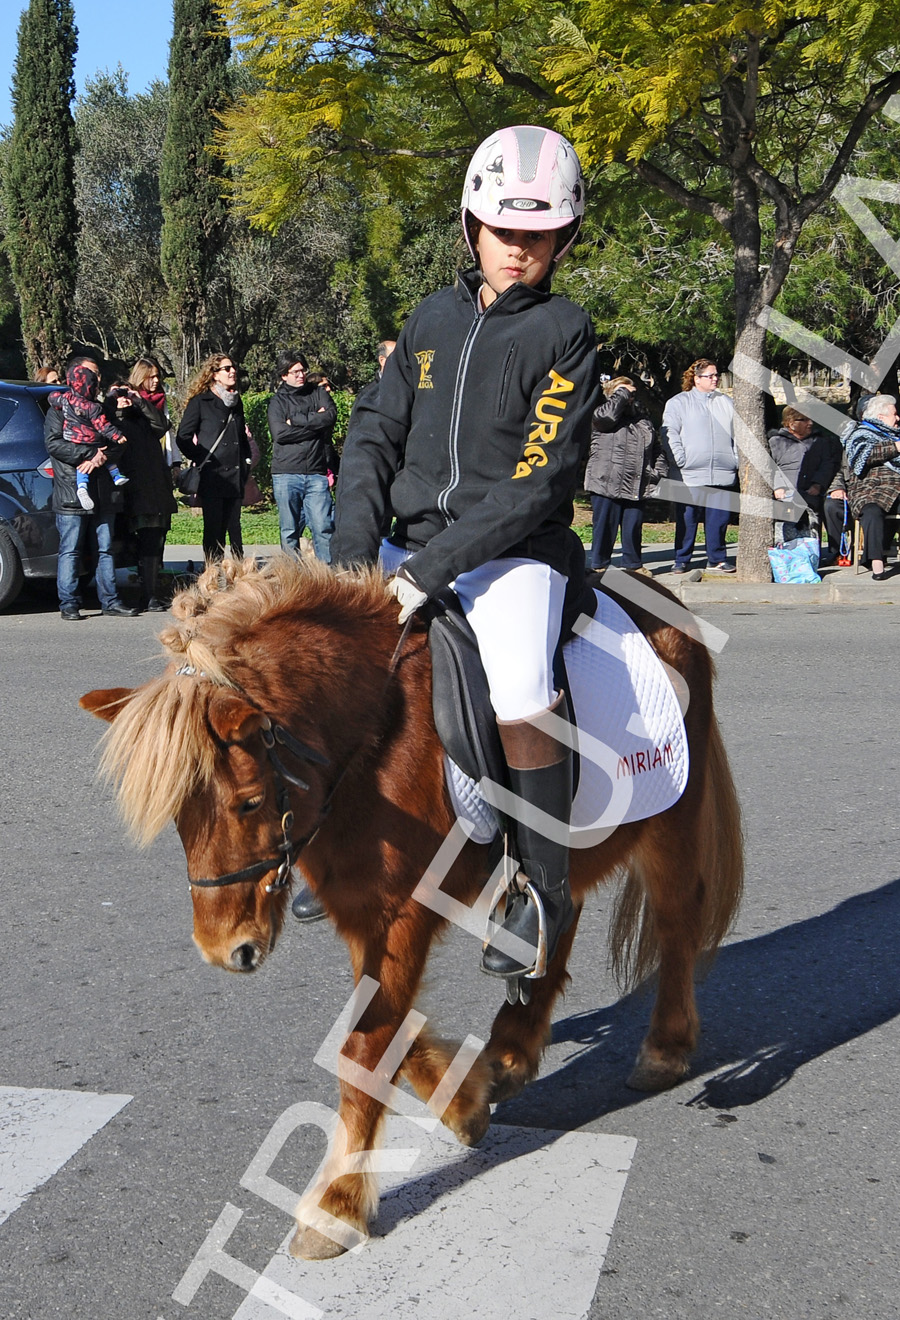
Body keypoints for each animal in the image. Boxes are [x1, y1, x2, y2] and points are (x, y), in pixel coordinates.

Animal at [80, 554, 739, 1256]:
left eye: (250, 801)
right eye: (180, 814)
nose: (224, 950)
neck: (373, 740)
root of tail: (666, 598)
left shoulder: (400, 914)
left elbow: (365, 1048)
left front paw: (336, 1205)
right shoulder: (362, 913)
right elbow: (389, 1029)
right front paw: (465, 1101)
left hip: (669, 824)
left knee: (677, 921)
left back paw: (665, 1048)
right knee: (560, 909)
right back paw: (511, 1047)